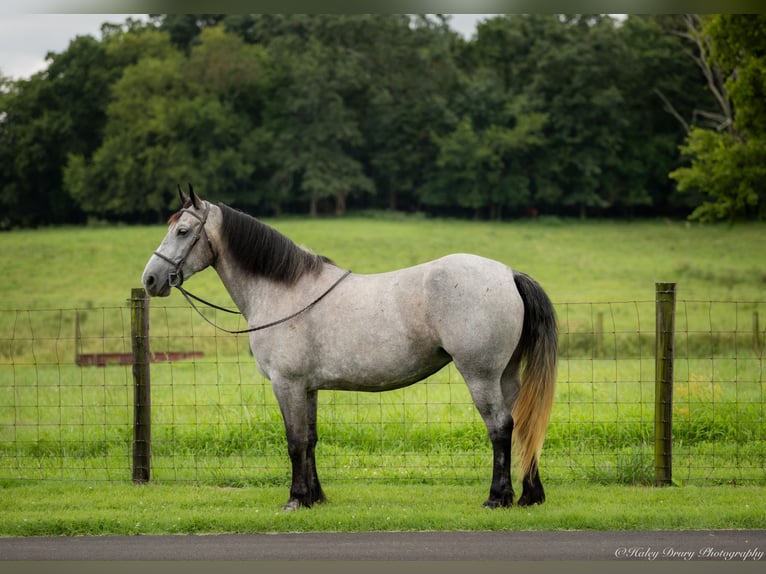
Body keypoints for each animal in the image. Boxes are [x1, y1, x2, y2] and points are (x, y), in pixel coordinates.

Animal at [142, 187, 560, 510]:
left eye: (182, 230)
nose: (150, 279)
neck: (285, 291)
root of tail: (508, 273)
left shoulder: (286, 384)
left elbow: (294, 441)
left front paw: (295, 499)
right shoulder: (307, 388)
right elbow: (310, 440)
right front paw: (315, 497)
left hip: (480, 375)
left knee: (500, 427)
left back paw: (498, 497)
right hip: (506, 374)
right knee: (522, 423)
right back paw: (530, 495)